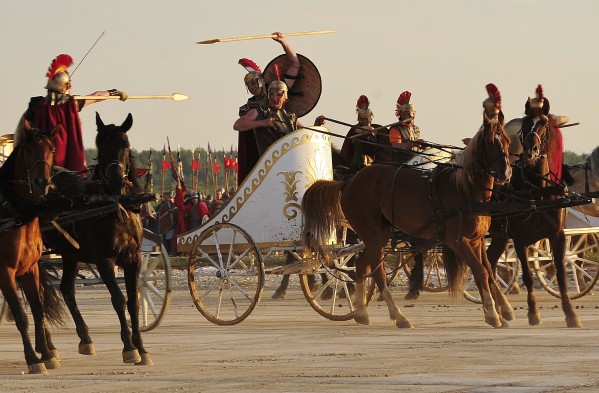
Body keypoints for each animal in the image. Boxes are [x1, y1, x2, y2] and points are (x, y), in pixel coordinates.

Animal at [0, 120, 64, 374]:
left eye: (52, 149)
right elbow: (21, 315)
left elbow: (37, 309)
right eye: (28, 149)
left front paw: (46, 353)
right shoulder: (5, 272)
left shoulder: (30, 268)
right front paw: (33, 359)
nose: (42, 182)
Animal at [42, 112, 154, 364]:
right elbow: (118, 299)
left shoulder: (134, 259)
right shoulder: (104, 260)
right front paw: (129, 347)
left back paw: (84, 339)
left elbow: (132, 302)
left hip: (70, 254)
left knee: (66, 289)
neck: (115, 206)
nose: (116, 181)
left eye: (125, 145)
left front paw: (142, 348)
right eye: (101, 146)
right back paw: (47, 347)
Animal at [302, 113, 512, 328]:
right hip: (372, 234)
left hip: (380, 234)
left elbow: (489, 271)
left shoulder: (477, 240)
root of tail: (349, 182)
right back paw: (398, 316)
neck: (464, 189)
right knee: (377, 273)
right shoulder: (458, 241)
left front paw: (501, 309)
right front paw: (493, 314)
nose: (505, 173)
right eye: (491, 142)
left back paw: (361, 313)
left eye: (506, 141)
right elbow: (480, 271)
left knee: (361, 266)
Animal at [486, 115, 584, 326]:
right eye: (524, 124)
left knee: (488, 264)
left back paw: (500, 309)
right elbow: (528, 275)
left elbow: (561, 274)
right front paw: (533, 313)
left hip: (499, 236)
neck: (537, 192)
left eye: (543, 124)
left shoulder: (557, 235)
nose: (531, 150)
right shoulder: (520, 239)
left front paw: (571, 314)